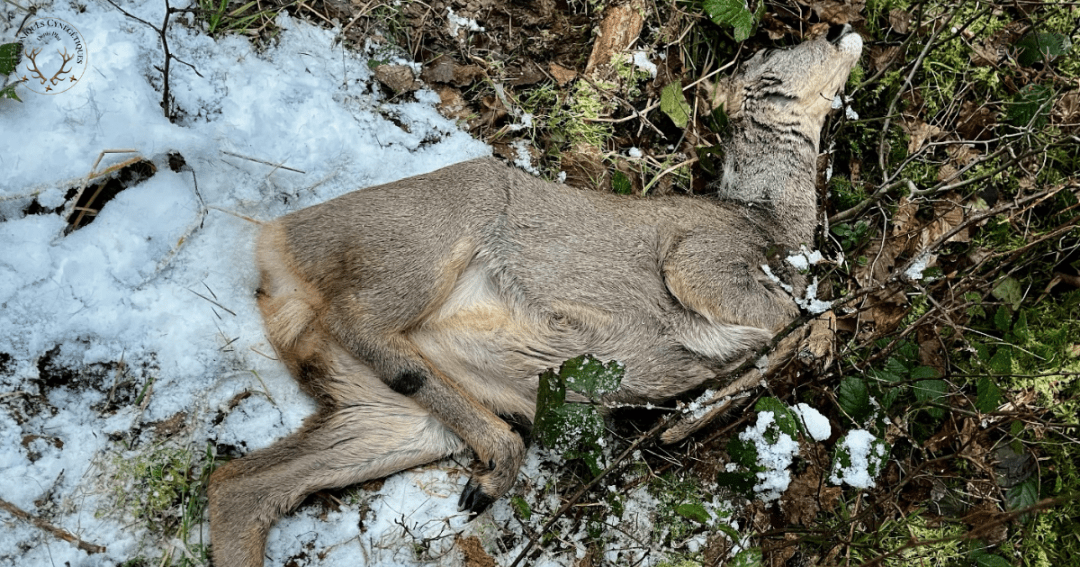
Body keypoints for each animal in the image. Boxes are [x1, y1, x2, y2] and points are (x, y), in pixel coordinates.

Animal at [208, 26, 863, 567]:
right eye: (781, 47)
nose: (840, 28)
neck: (772, 226)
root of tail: (274, 247)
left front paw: (697, 415)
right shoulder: (702, 256)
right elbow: (789, 314)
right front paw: (796, 355)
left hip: (391, 415)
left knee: (237, 485)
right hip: (437, 227)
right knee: (359, 318)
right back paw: (497, 468)